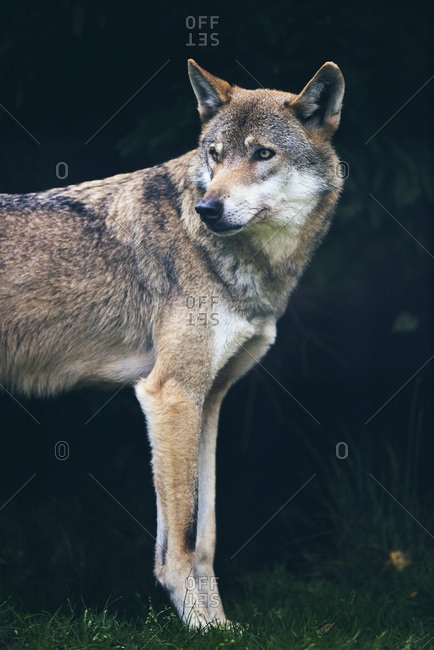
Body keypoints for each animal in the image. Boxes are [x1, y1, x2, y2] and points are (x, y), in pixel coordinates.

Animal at [0, 60, 344, 627]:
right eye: (215, 154)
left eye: (263, 154)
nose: (208, 208)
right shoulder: (170, 395)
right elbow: (179, 540)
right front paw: (201, 626)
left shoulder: (209, 401)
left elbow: (204, 536)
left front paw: (222, 628)